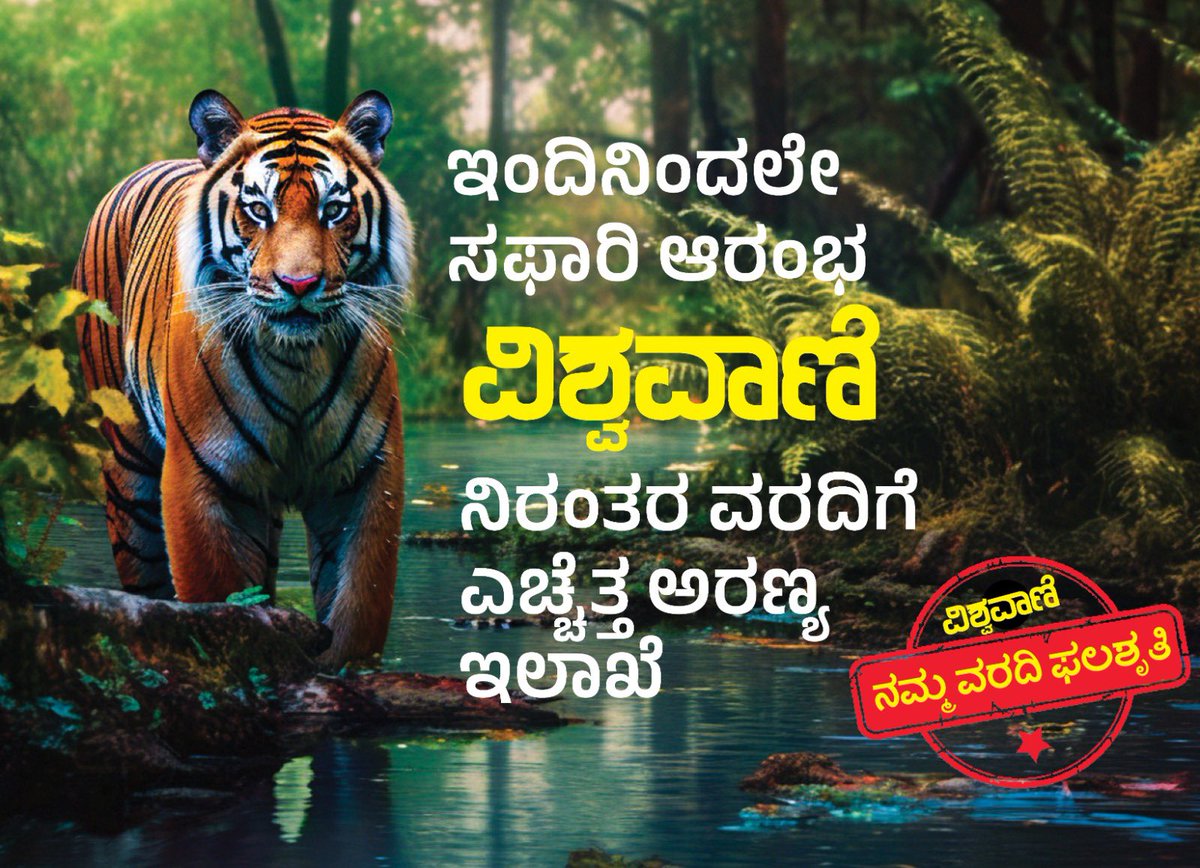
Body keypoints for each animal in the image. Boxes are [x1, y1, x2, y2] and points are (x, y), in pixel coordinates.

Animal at [73, 90, 412, 665]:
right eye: (258, 209)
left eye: (334, 210)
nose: (299, 284)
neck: (298, 363)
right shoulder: (203, 476)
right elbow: (218, 605)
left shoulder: (365, 479)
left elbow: (356, 617)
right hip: (129, 468)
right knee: (145, 585)